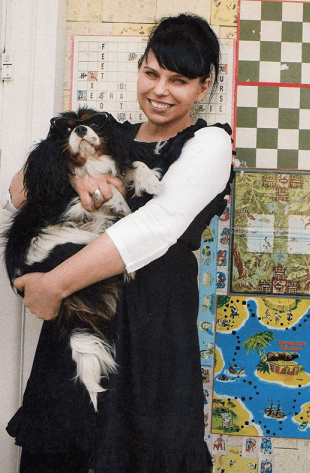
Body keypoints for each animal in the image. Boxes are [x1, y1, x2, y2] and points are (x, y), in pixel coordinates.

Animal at [3, 108, 162, 410]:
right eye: (65, 129)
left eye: (94, 122)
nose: (79, 130)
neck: (91, 164)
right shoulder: (63, 202)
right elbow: (103, 194)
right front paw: (121, 202)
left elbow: (132, 163)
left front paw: (150, 180)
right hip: (62, 242)